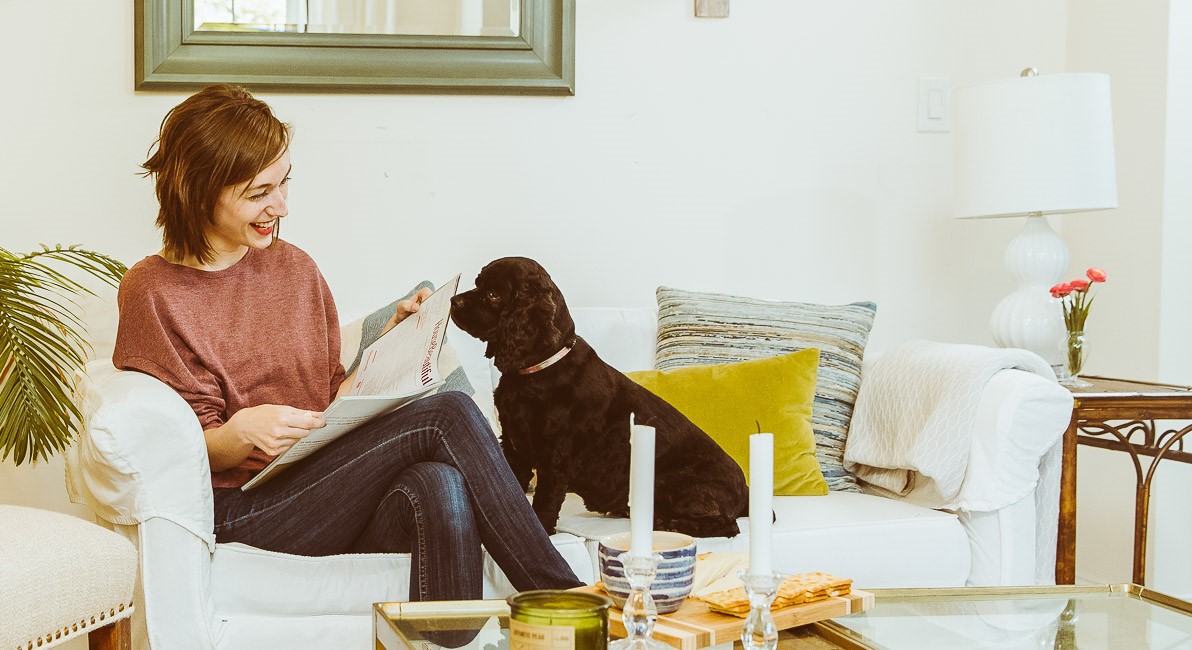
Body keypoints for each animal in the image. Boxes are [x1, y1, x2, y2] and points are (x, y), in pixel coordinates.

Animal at [448, 256, 743, 534]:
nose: (453, 300)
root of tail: (746, 491)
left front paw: (542, 529)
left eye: (493, 294)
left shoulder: (554, 457)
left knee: (729, 527)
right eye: (477, 283)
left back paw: (668, 523)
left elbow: (544, 502)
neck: (537, 372)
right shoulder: (512, 447)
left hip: (668, 481)